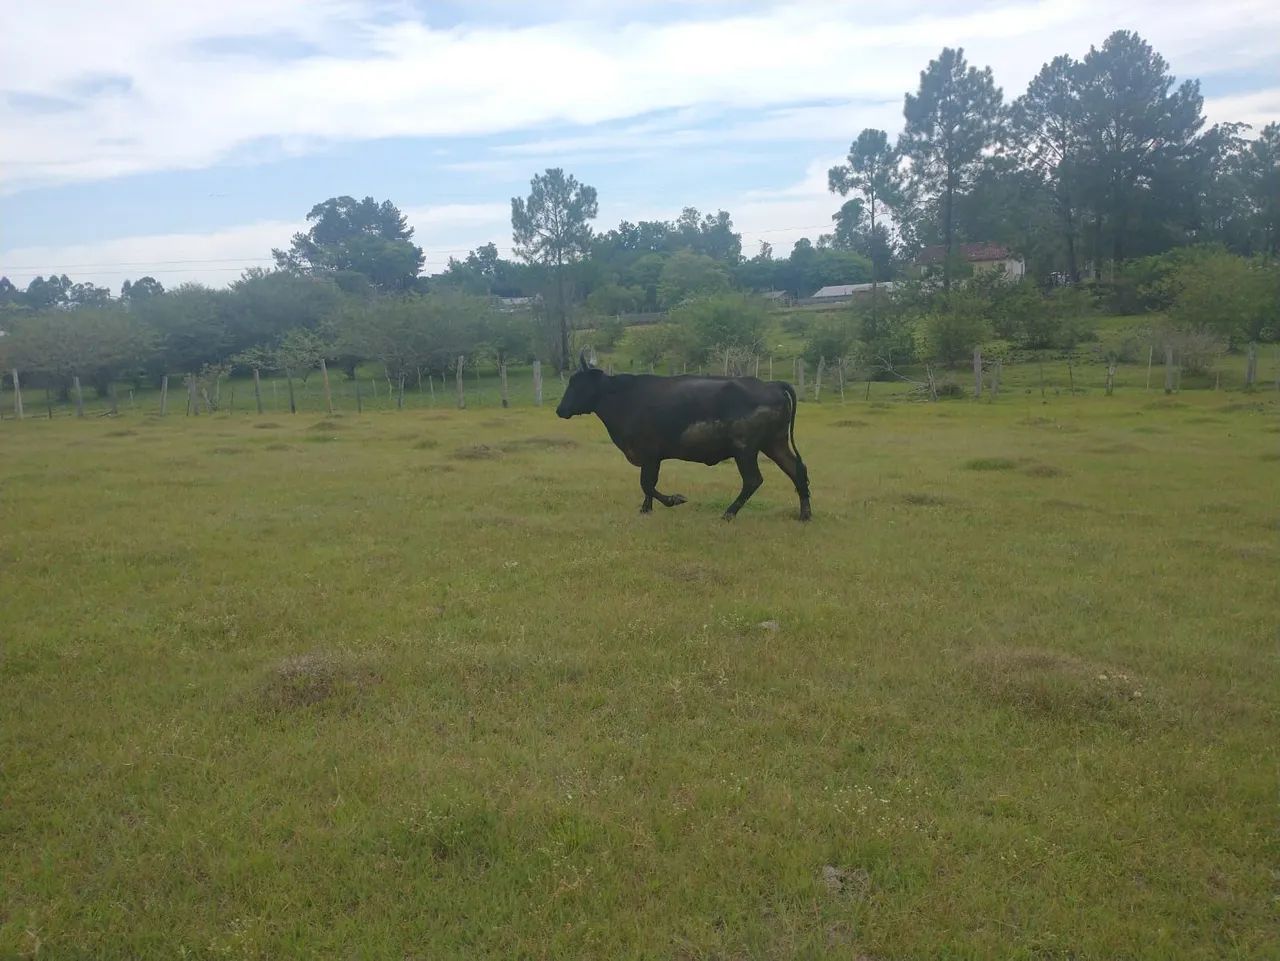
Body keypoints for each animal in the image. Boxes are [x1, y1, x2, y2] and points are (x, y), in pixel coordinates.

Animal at [556, 351, 811, 521]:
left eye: (577, 384)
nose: (560, 410)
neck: (625, 397)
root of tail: (771, 385)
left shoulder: (650, 453)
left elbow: (646, 483)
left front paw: (674, 500)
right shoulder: (652, 458)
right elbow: (648, 484)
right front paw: (645, 509)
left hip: (745, 449)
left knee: (753, 480)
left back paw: (729, 513)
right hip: (774, 443)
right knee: (796, 470)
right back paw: (805, 514)